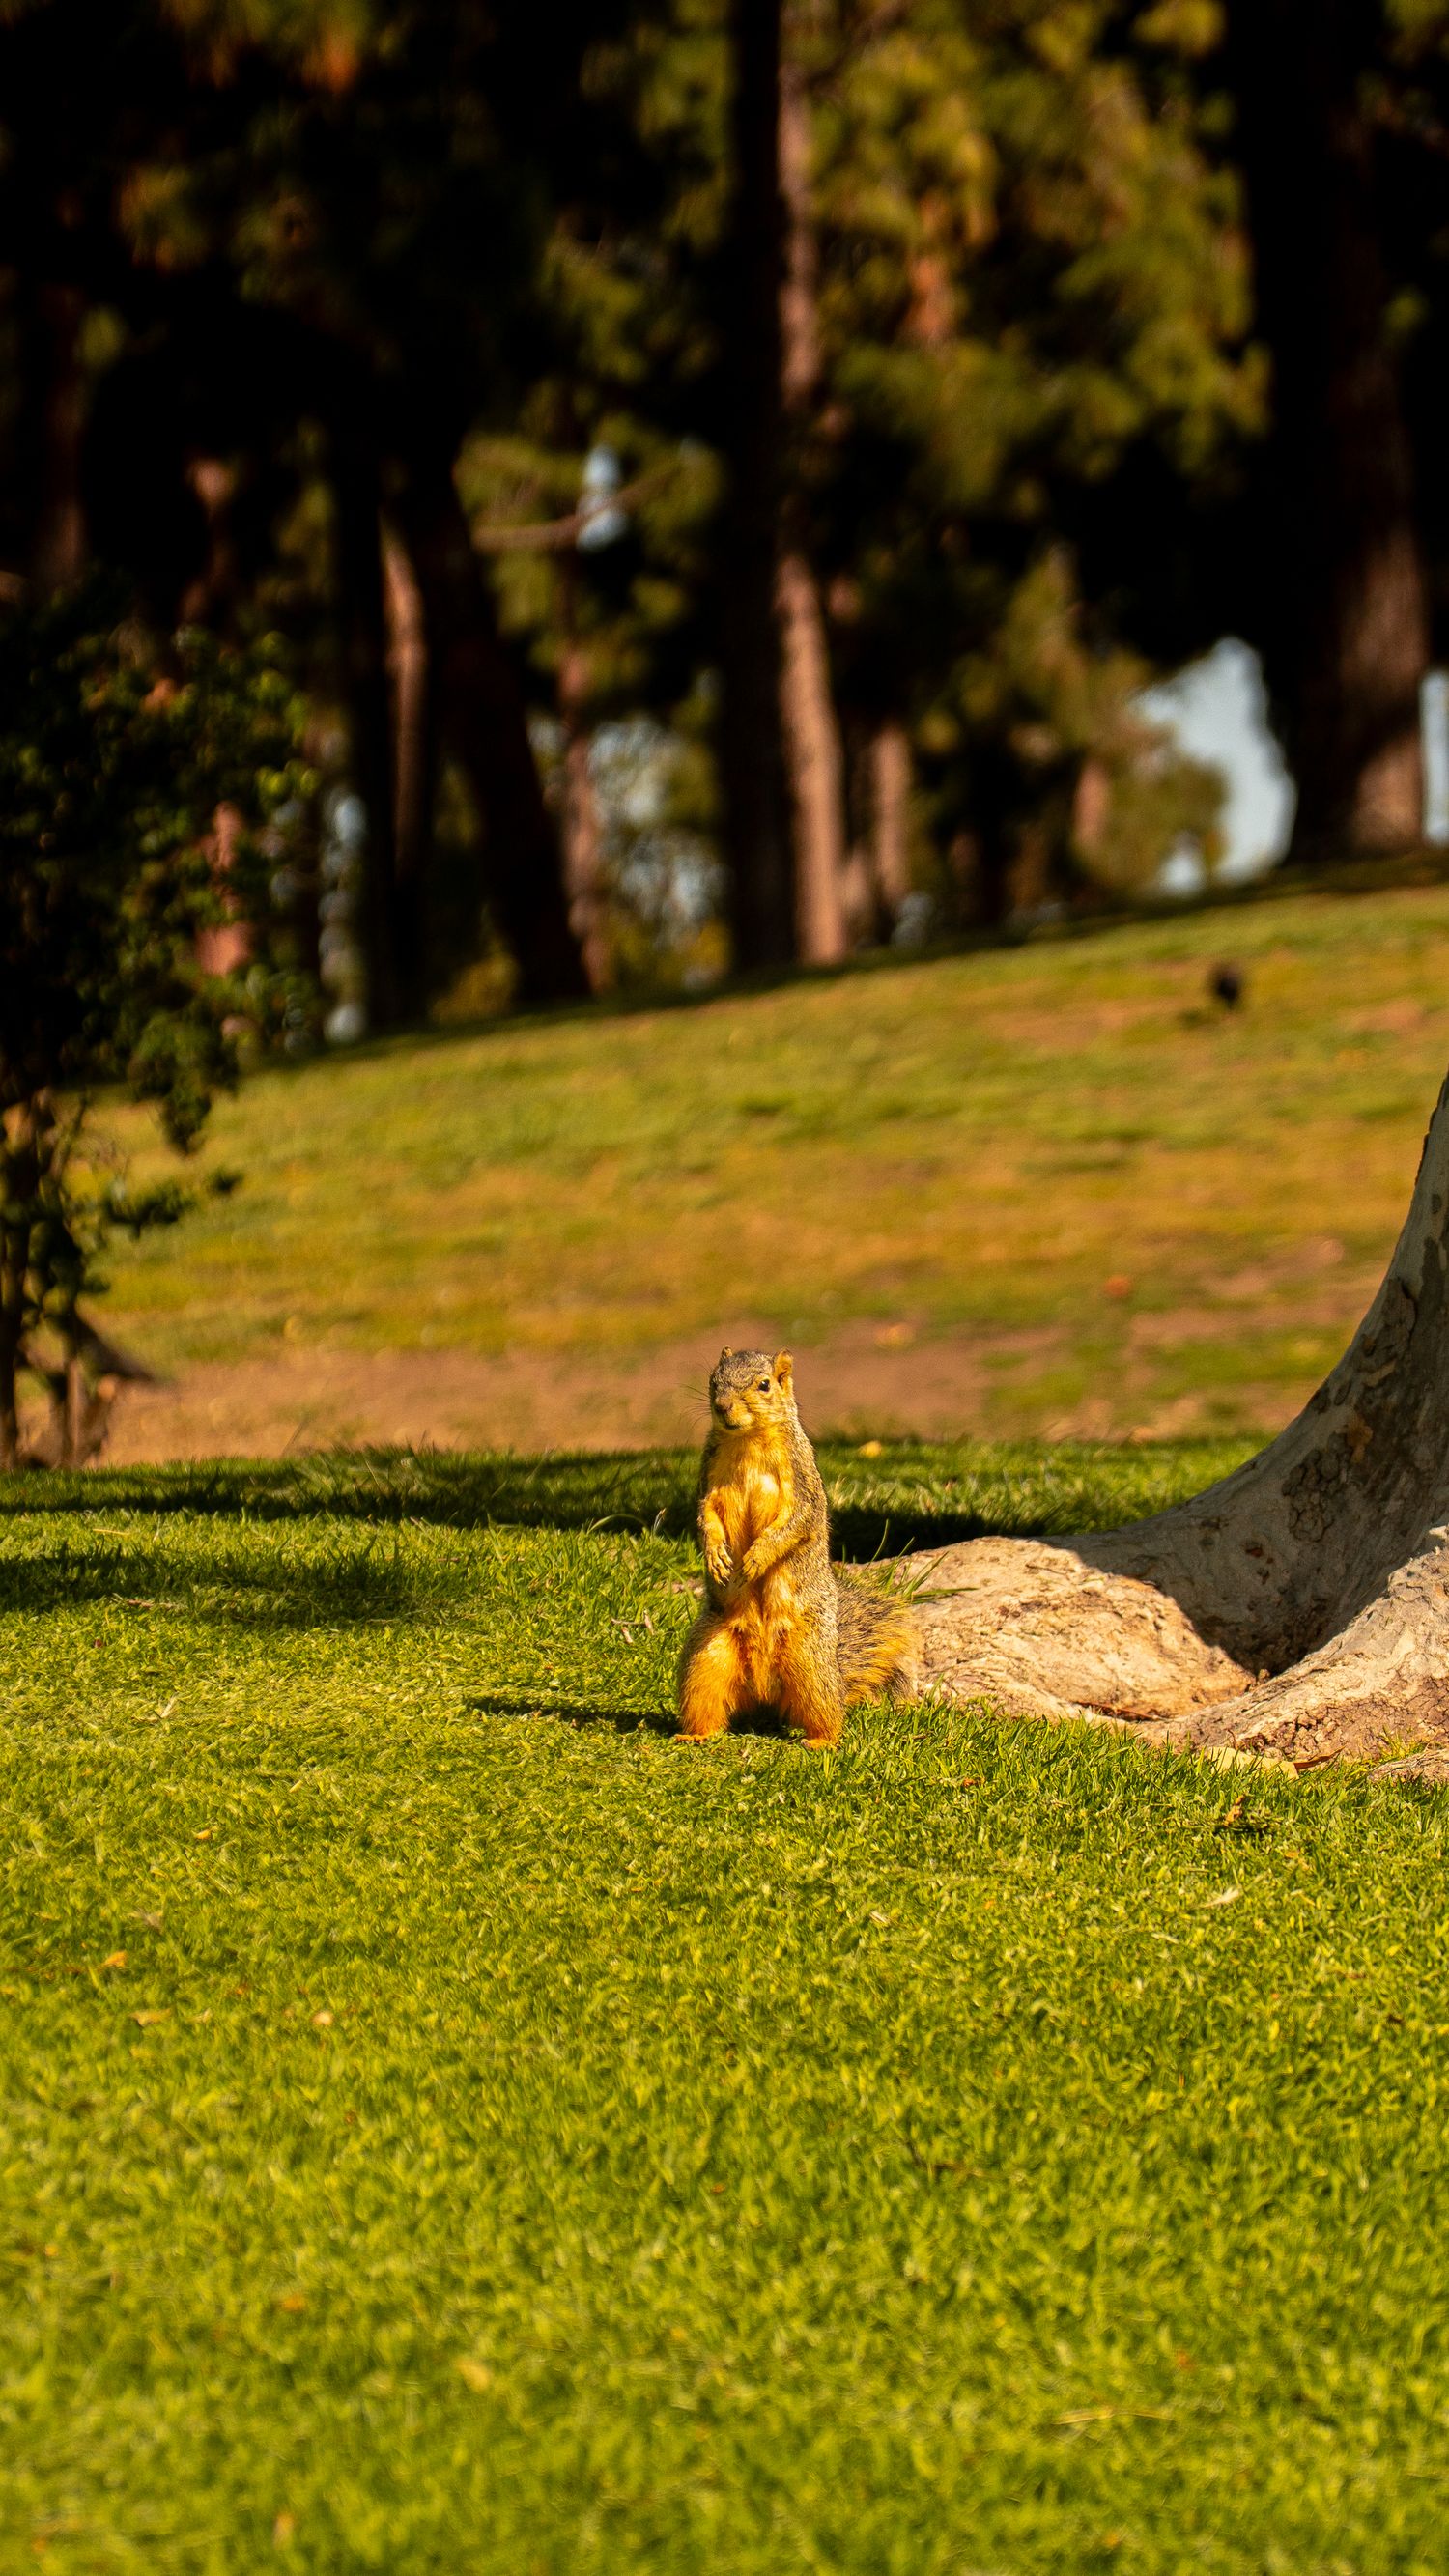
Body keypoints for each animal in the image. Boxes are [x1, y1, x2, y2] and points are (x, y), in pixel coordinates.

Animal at [676, 1346, 918, 1745]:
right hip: (707, 1657)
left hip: (810, 1663)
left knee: (826, 1710)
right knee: (705, 1699)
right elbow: (705, 1516)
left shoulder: (801, 1480)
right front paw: (715, 1555)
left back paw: (822, 1740)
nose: (722, 1406)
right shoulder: (708, 1478)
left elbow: (796, 1521)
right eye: (714, 1379)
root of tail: (764, 1692)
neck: (747, 1440)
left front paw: (757, 1557)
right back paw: (695, 1735)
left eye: (764, 1384)